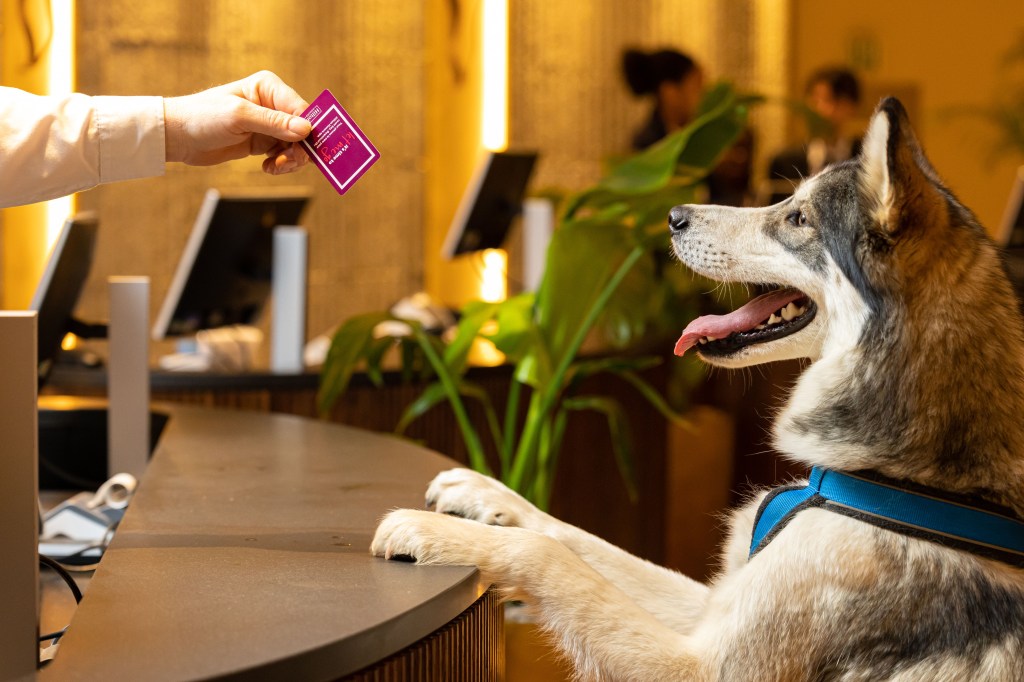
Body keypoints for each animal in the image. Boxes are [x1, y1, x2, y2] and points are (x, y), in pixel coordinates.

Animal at [370, 96, 1024, 679]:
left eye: (797, 218)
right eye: (789, 201)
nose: (674, 216)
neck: (904, 480)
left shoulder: (705, 666)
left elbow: (548, 556)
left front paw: (432, 533)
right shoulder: (715, 604)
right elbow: (574, 536)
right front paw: (483, 494)